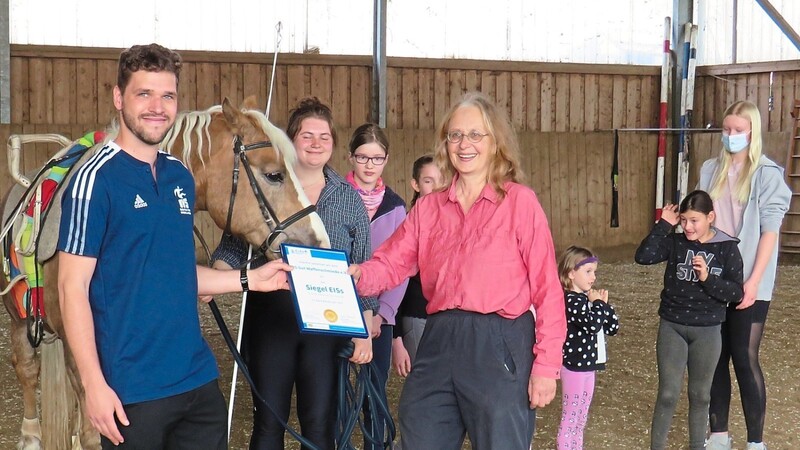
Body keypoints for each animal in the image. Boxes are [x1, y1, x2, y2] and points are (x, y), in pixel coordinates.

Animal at [0, 96, 330, 448]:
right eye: (274, 174)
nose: (321, 242)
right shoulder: (83, 357)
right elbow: (93, 429)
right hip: (21, 321)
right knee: (27, 368)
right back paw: (30, 434)